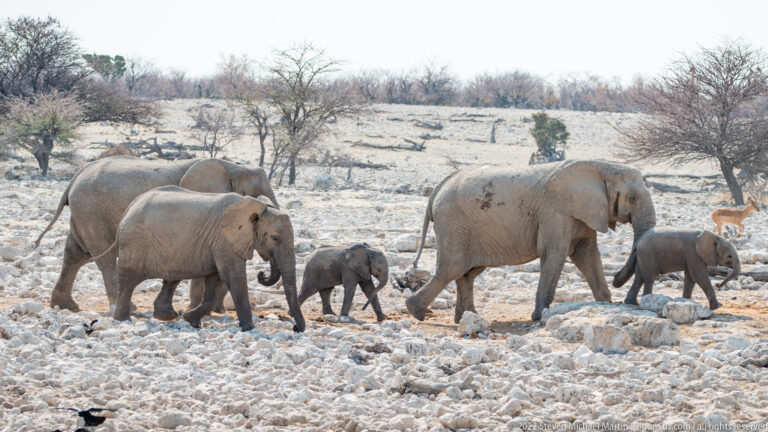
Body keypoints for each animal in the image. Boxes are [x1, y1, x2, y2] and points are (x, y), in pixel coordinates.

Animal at [34, 156, 279, 314]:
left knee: (75, 253)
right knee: (102, 257)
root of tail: (74, 177)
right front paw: (198, 309)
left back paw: (65, 306)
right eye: (250, 193)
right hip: (91, 209)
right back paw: (128, 309)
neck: (231, 165)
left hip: (84, 211)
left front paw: (214, 311)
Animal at [94, 186, 304, 332]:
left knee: (171, 278)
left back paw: (167, 316)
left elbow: (215, 282)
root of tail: (129, 208)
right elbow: (232, 277)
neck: (254, 207)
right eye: (275, 238)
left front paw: (190, 319)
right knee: (129, 279)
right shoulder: (224, 239)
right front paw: (249, 329)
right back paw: (123, 320)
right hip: (135, 242)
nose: (295, 328)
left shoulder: (217, 242)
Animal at [406, 160, 656, 323]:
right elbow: (555, 254)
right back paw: (416, 312)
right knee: (451, 269)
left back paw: (468, 318)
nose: (617, 279)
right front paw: (539, 317)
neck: (603, 167)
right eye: (632, 199)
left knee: (467, 272)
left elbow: (587, 256)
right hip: (453, 224)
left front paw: (606, 304)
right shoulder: (555, 212)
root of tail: (437, 190)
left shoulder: (582, 214)